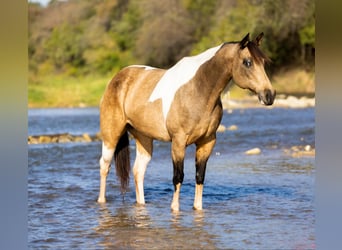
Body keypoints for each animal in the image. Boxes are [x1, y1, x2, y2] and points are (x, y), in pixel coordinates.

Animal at [95, 32, 276, 210]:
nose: (269, 95)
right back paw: (101, 201)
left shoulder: (207, 142)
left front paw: (198, 208)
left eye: (264, 62)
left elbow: (200, 176)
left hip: (144, 137)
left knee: (138, 171)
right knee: (105, 165)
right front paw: (174, 208)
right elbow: (178, 177)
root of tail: (118, 78)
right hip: (112, 134)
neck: (197, 90)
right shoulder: (178, 142)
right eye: (247, 62)